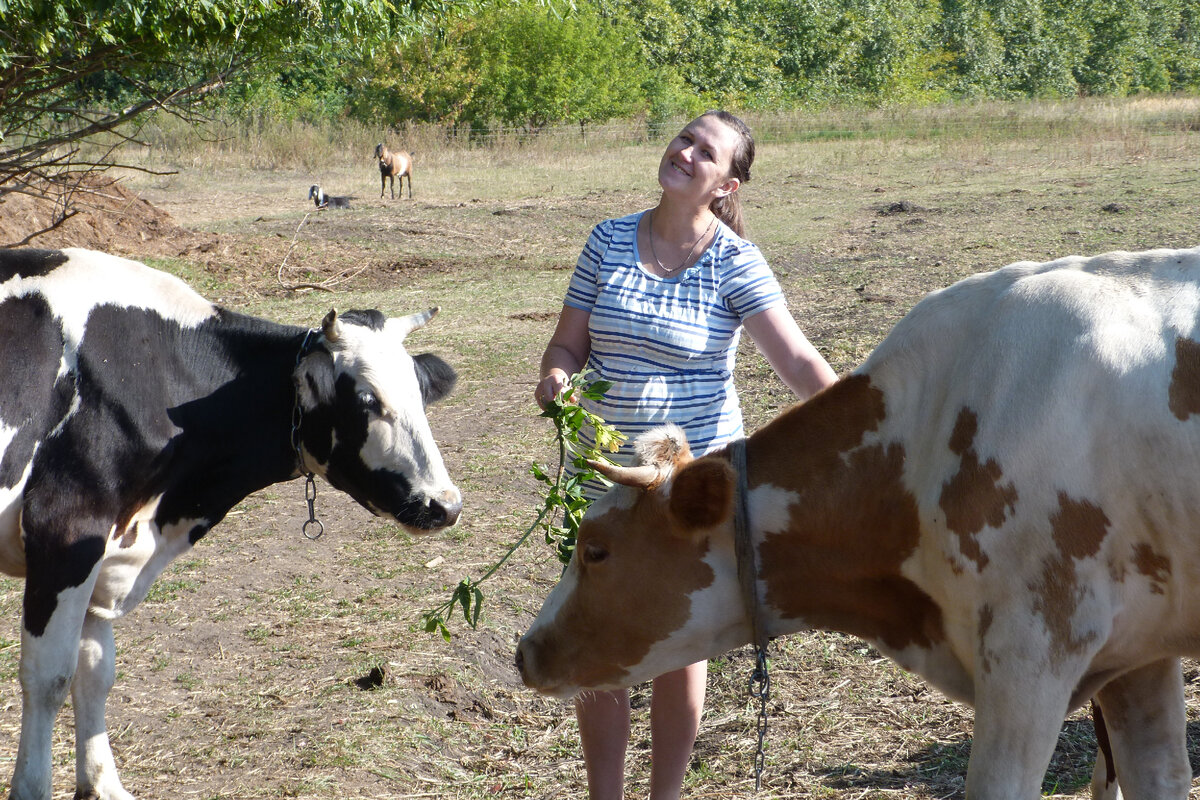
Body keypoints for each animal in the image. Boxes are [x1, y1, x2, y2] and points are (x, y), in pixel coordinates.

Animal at [0, 247, 460, 796]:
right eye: (368, 401)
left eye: (421, 395)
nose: (445, 505)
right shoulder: (66, 530)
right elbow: (49, 676)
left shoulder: (106, 553)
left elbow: (96, 671)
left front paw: (103, 784)